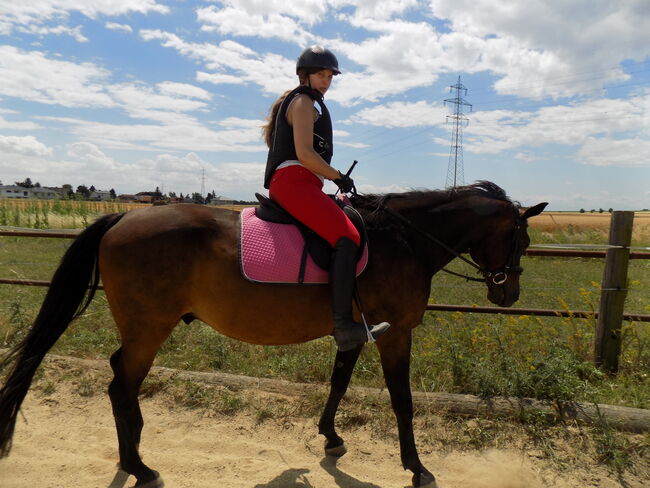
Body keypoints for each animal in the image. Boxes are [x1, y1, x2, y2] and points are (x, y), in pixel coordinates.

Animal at [0, 182, 544, 488]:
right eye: (520, 238)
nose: (509, 292)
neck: (404, 240)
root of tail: (121, 220)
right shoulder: (395, 335)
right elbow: (402, 401)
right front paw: (416, 467)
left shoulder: (356, 330)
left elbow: (339, 382)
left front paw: (330, 437)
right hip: (148, 330)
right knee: (120, 385)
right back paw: (139, 466)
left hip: (142, 330)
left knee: (122, 382)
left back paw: (133, 452)